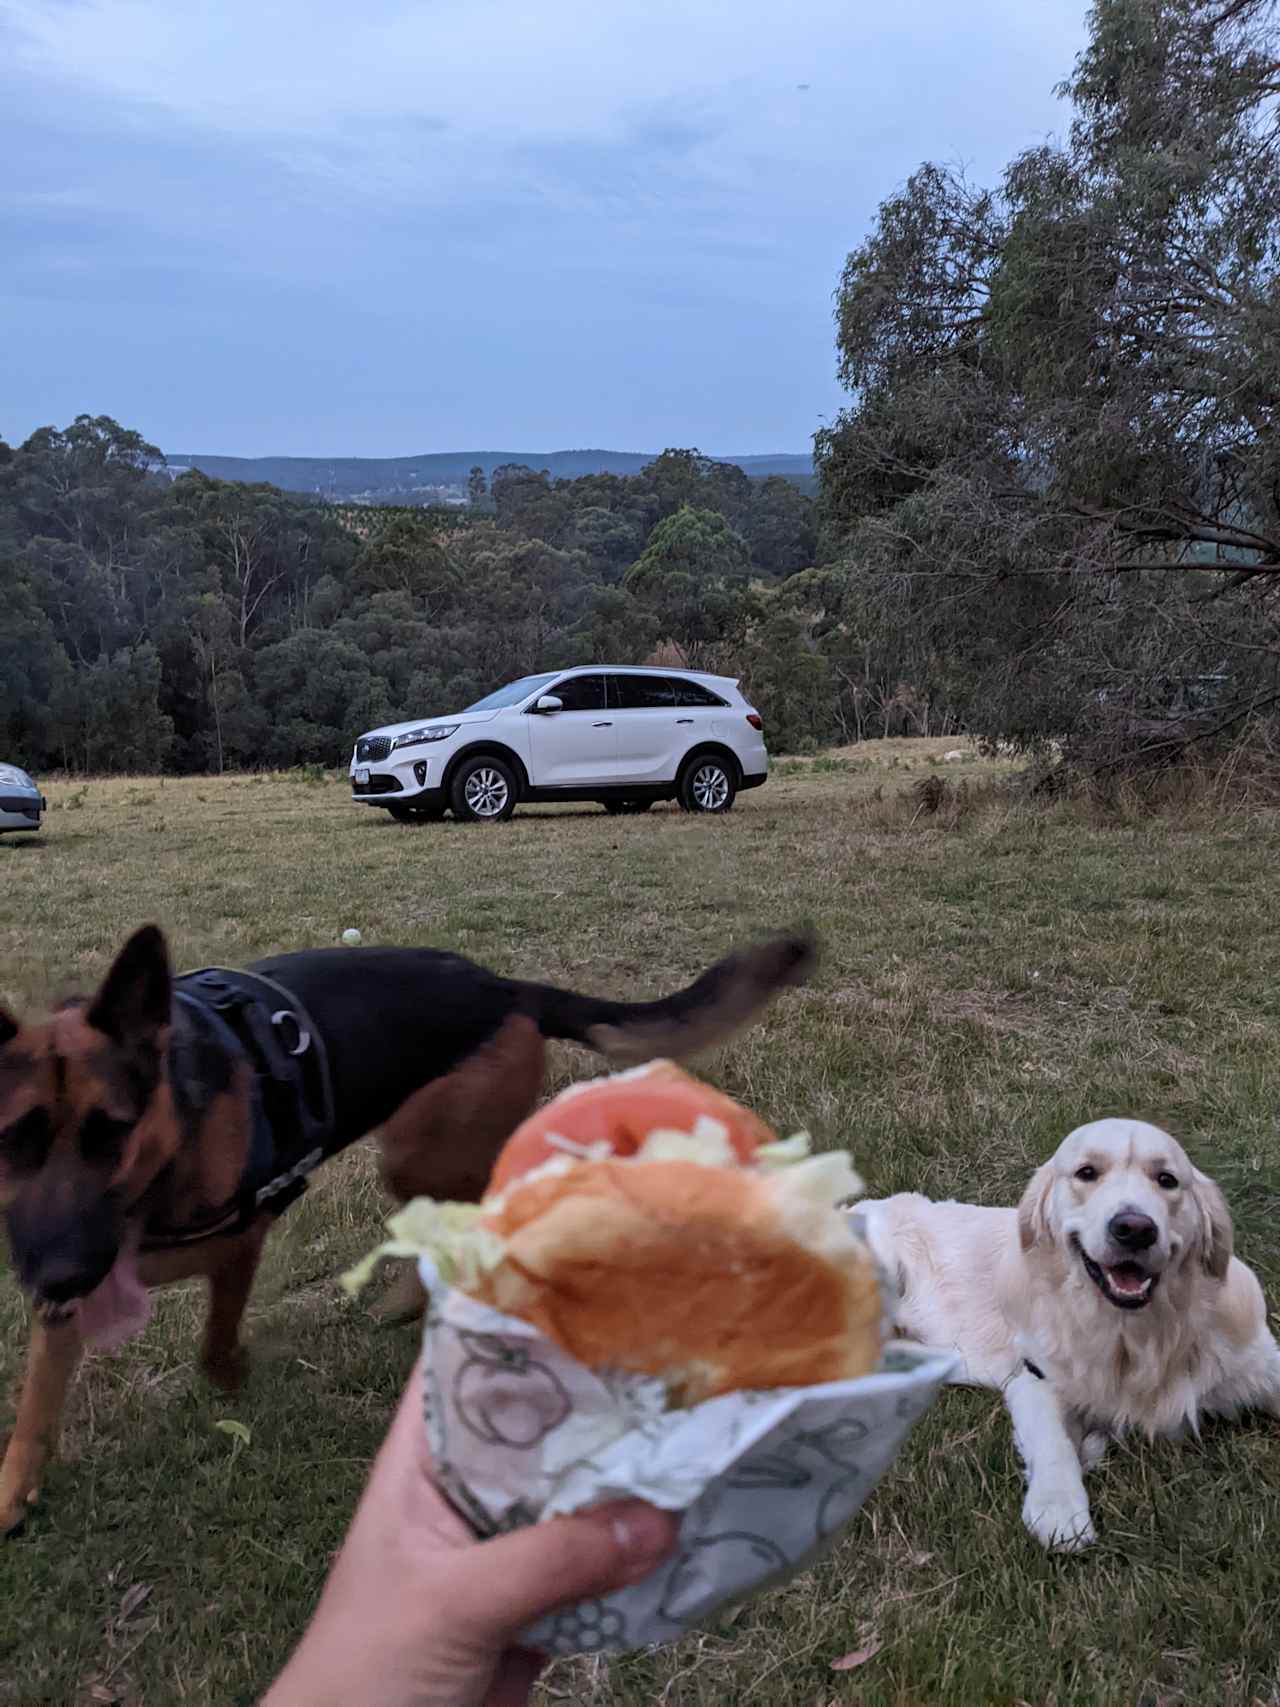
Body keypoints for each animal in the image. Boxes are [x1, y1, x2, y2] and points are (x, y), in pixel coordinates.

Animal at [0, 921, 815, 1536]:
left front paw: (234, 1380)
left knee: (479, 1213)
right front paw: (13, 1492)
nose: (59, 1271)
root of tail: (504, 987)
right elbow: (38, 1399)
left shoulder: (240, 1239)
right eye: (14, 1140)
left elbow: (215, 1343)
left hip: (417, 1150)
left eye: (112, 1133)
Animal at [853, 1119, 1280, 1549]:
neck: (1134, 1335)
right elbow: (1053, 1443)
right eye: (1086, 1173)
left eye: (1167, 1179)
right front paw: (1060, 1511)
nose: (1134, 1229)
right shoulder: (1034, 1379)